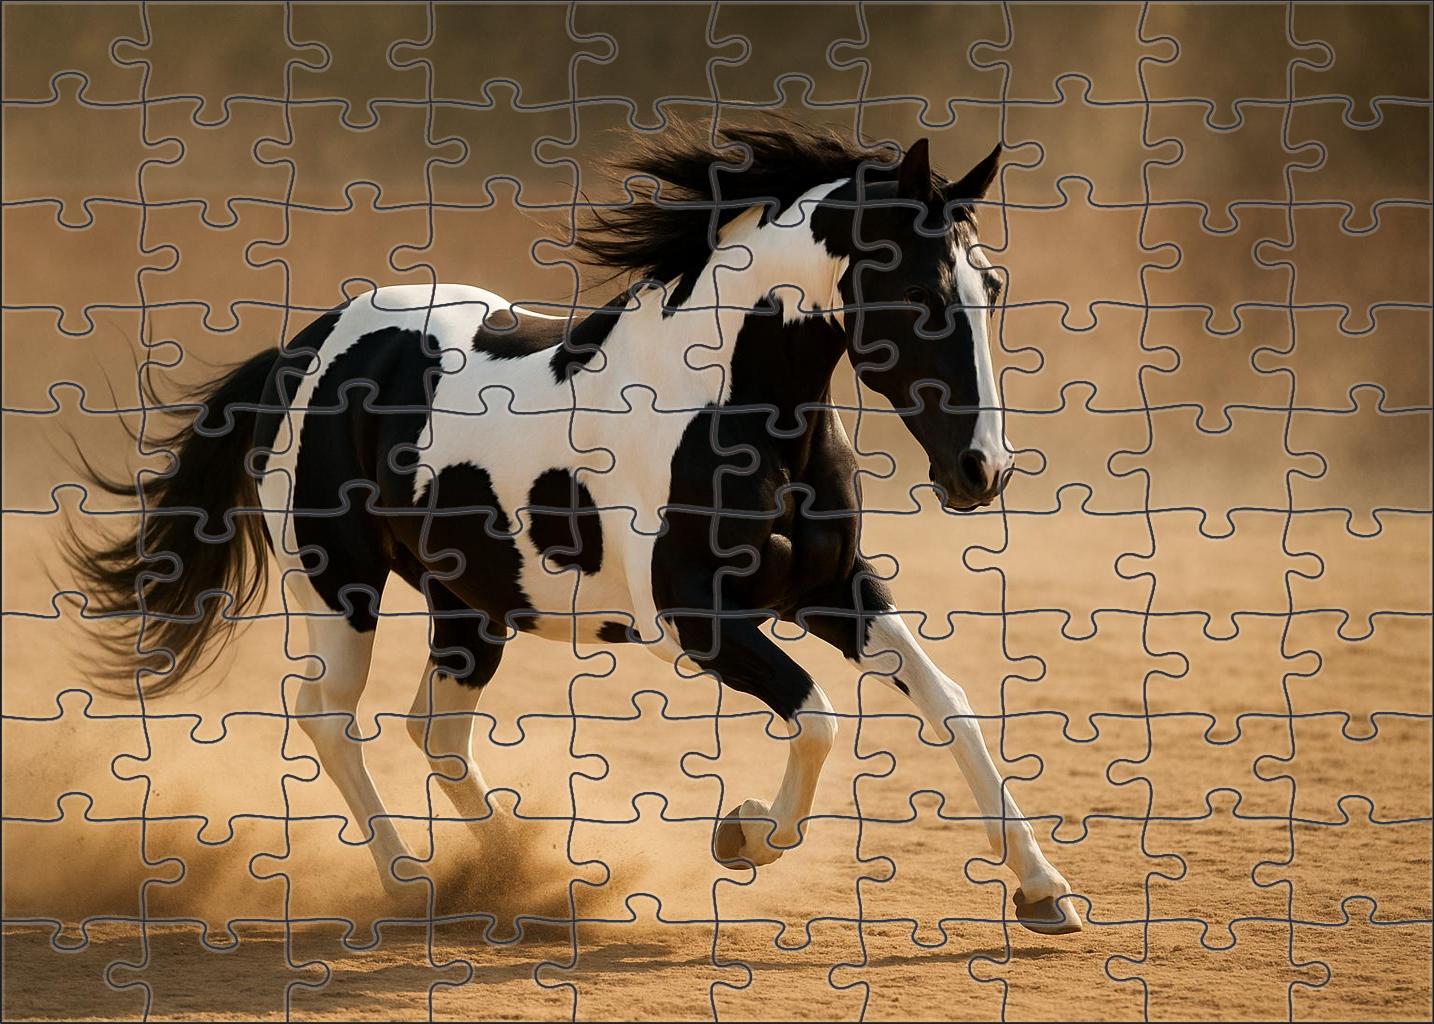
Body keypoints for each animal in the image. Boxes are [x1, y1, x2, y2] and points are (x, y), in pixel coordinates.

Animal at [68, 123, 1082, 935]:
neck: (733, 411)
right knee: (328, 716)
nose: (981, 472)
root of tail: (307, 346)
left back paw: (517, 876)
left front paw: (1046, 895)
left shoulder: (832, 589)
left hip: (470, 605)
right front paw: (745, 835)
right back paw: (412, 882)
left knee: (434, 729)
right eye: (916, 291)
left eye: (990, 285)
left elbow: (950, 705)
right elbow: (818, 716)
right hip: (341, 588)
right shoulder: (693, 622)